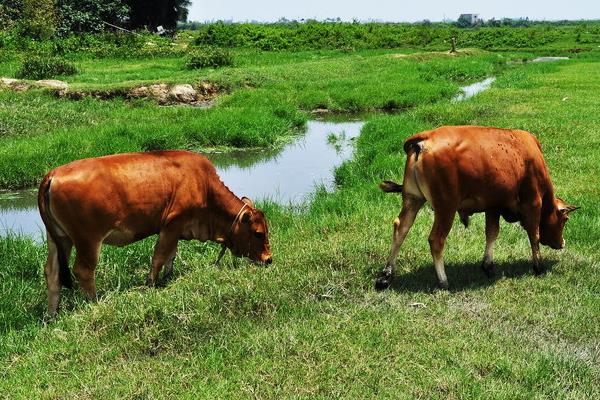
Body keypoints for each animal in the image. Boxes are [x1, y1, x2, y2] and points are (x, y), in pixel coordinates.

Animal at [37, 150, 272, 316]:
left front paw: (169, 278)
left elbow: (170, 256)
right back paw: (94, 303)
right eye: (258, 233)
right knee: (83, 271)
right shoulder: (172, 224)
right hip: (88, 240)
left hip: (59, 239)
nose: (269, 259)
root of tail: (53, 173)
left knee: (52, 272)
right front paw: (150, 284)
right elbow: (159, 256)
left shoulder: (176, 229)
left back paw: (51, 315)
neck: (204, 186)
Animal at [378, 126, 580, 290]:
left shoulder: (493, 206)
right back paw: (443, 281)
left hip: (412, 200)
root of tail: (426, 137)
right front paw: (538, 267)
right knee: (436, 240)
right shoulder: (532, 203)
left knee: (401, 228)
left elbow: (492, 233)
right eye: (565, 219)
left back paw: (386, 275)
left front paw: (488, 266)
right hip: (445, 208)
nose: (562, 243)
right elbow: (534, 235)